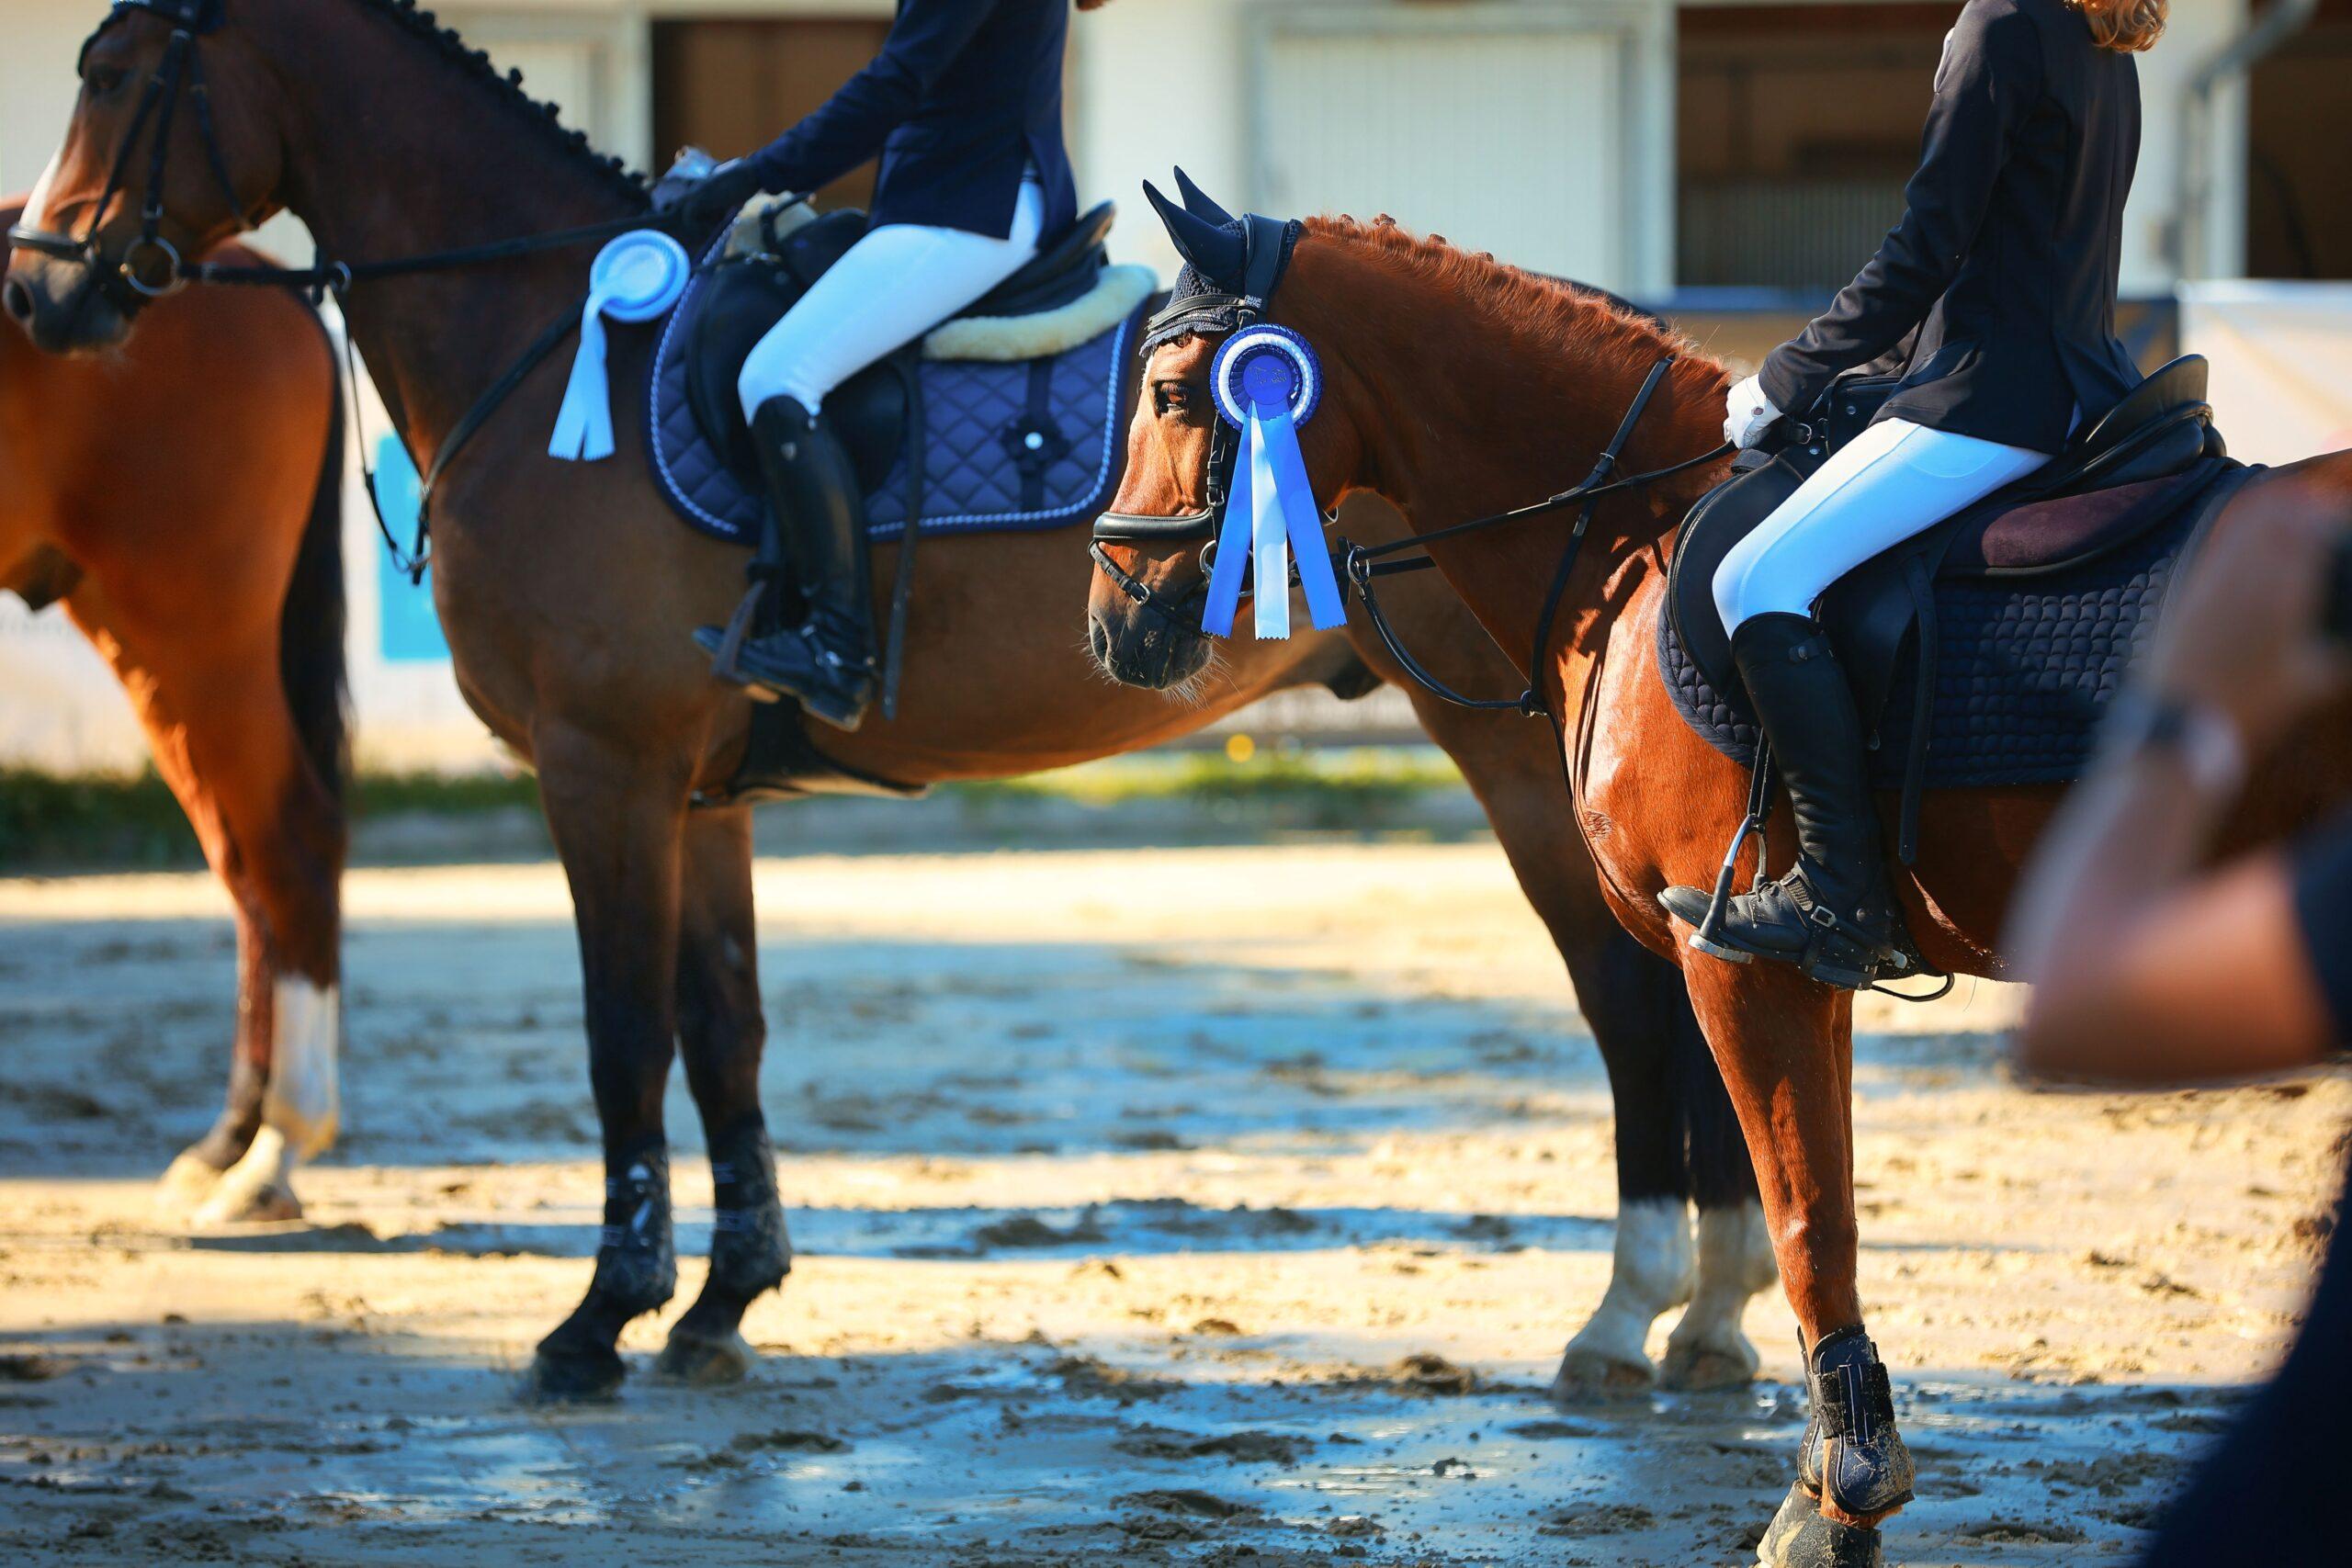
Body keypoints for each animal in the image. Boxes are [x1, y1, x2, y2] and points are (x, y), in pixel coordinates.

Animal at [0, 0, 1769, 1410]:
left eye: (112, 72)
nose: (42, 297)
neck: (550, 341)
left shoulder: (601, 768)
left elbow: (622, 1035)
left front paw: (595, 1321)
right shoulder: (694, 789)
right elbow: (722, 1030)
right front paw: (719, 1304)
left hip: (1510, 751)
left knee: (1633, 1000)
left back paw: (1636, 1310)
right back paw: (1711, 1310)